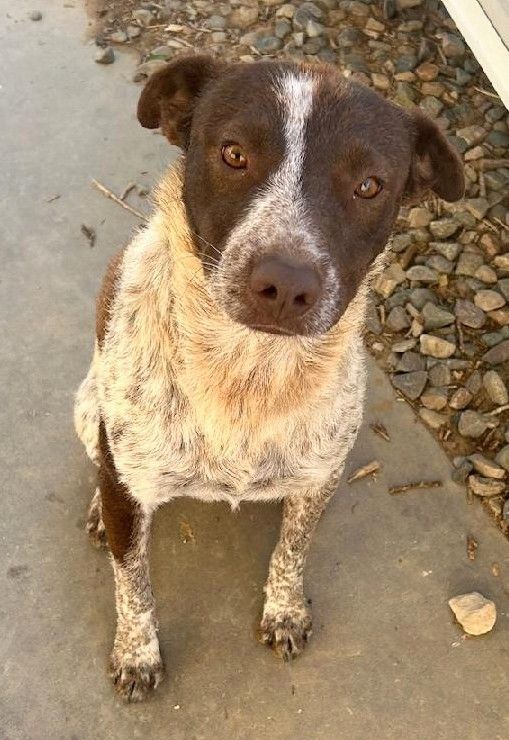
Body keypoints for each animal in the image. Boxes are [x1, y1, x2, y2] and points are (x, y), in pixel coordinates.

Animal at [73, 55, 462, 704]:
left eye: (369, 185)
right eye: (233, 153)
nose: (285, 284)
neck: (248, 374)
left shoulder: (318, 477)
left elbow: (293, 549)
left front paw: (284, 610)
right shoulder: (130, 479)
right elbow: (133, 586)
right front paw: (137, 653)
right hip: (87, 408)